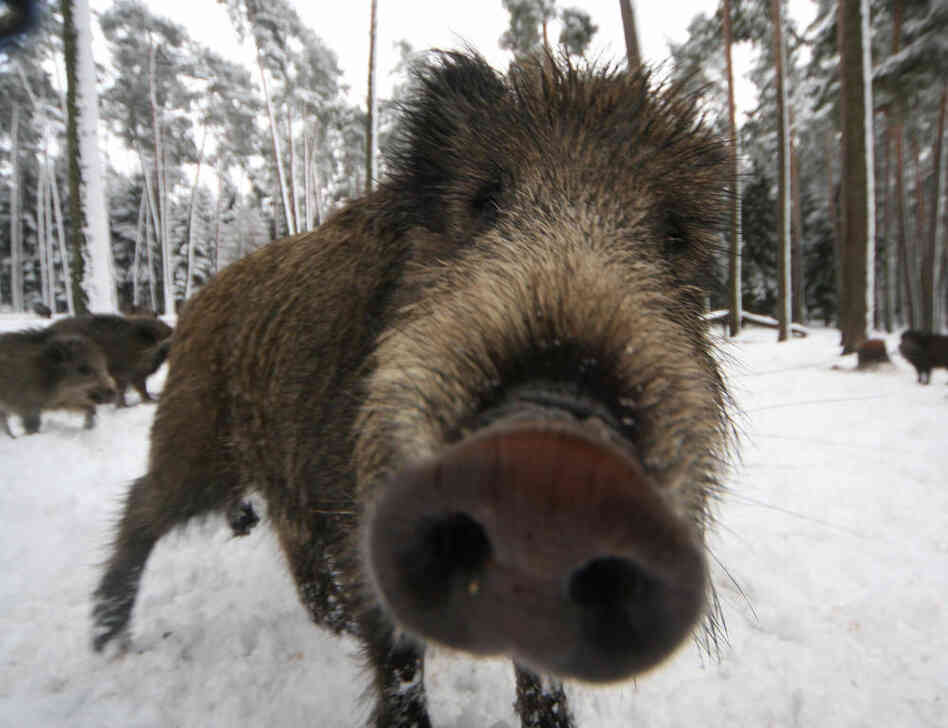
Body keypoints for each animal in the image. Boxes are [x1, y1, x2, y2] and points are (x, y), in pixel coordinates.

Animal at [91, 51, 733, 728]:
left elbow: (540, 676)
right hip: (195, 435)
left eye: (674, 236)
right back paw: (108, 640)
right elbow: (397, 667)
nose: (550, 458)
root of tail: (194, 306)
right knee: (142, 504)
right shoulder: (362, 518)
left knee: (286, 537)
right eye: (483, 199)